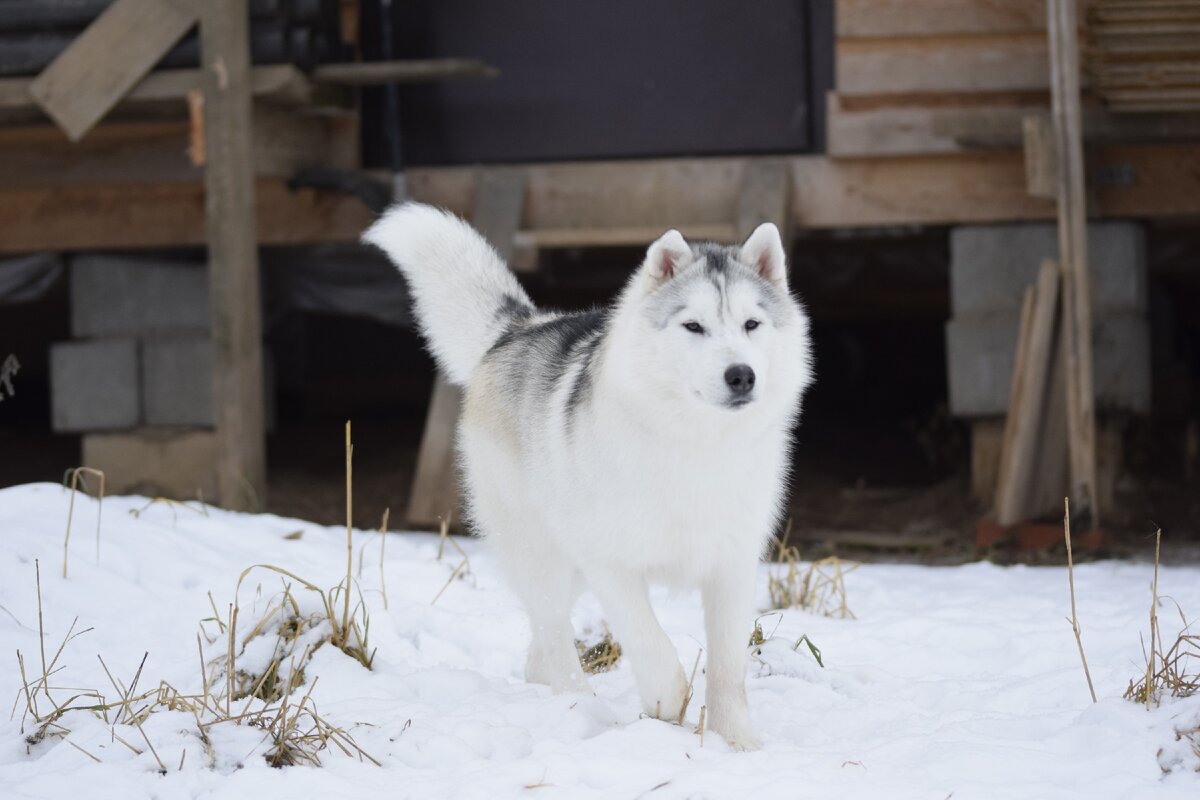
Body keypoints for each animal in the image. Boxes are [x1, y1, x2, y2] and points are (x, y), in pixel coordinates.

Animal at [362, 201, 816, 753]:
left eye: (752, 324)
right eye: (693, 326)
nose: (741, 375)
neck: (694, 445)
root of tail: (522, 328)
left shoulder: (732, 566)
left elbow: (729, 671)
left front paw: (739, 746)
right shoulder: (611, 565)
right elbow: (655, 650)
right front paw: (666, 710)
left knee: (539, 651)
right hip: (547, 557)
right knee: (554, 641)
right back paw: (579, 709)